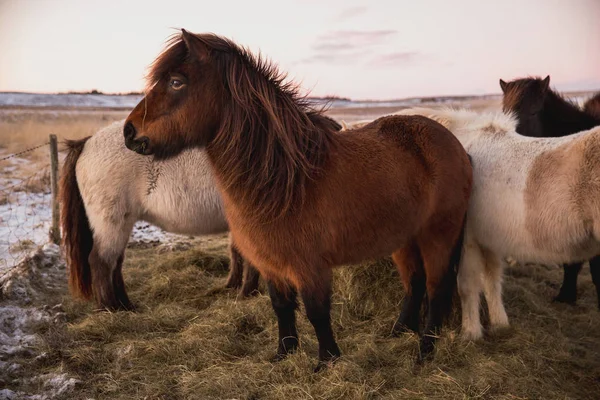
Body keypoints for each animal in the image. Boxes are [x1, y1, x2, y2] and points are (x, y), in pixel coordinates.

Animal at [59, 120, 262, 310]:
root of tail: (88, 142)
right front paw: (247, 293)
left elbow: (237, 252)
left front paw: (235, 287)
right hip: (111, 224)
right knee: (101, 261)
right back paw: (111, 308)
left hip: (122, 224)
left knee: (115, 263)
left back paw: (125, 305)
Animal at [120, 30, 474, 368]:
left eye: (176, 82)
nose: (129, 132)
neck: (286, 180)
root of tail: (454, 143)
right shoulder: (271, 262)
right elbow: (281, 307)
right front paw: (284, 354)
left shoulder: (310, 266)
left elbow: (316, 312)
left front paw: (327, 361)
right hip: (405, 238)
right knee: (414, 283)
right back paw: (398, 331)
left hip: (438, 236)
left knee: (436, 288)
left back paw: (425, 351)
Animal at [346, 109, 600, 340]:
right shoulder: (489, 241)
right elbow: (491, 280)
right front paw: (499, 325)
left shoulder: (466, 242)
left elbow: (467, 285)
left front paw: (469, 333)